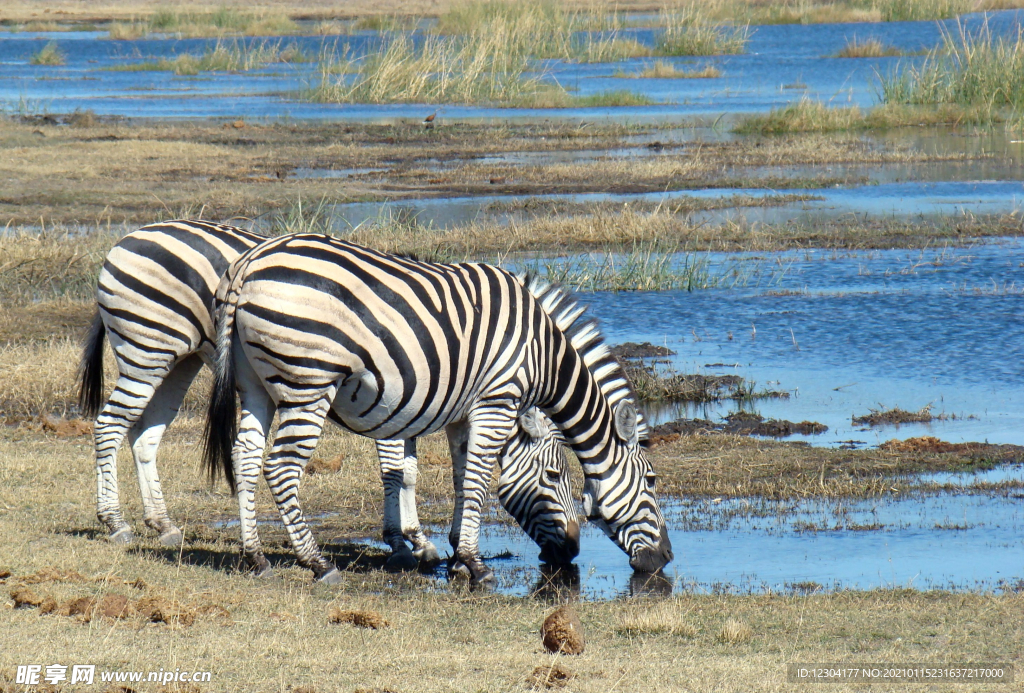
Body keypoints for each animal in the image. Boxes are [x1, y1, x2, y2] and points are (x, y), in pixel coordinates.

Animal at [75, 222, 581, 573]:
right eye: (555, 475)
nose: (573, 550)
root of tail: (130, 236)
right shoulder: (397, 398)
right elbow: (399, 472)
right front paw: (407, 542)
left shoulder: (418, 401)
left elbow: (409, 470)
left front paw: (418, 539)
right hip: (148, 348)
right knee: (110, 425)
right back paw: (116, 522)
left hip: (178, 360)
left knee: (144, 434)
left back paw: (162, 525)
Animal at [205, 232, 671, 585]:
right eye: (650, 481)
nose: (665, 558)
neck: (544, 354)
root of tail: (249, 261)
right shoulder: (495, 402)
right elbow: (477, 481)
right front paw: (475, 565)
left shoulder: (463, 413)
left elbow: (461, 479)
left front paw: (456, 555)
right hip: (309, 382)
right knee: (280, 467)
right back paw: (317, 563)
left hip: (254, 383)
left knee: (245, 458)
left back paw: (256, 557)